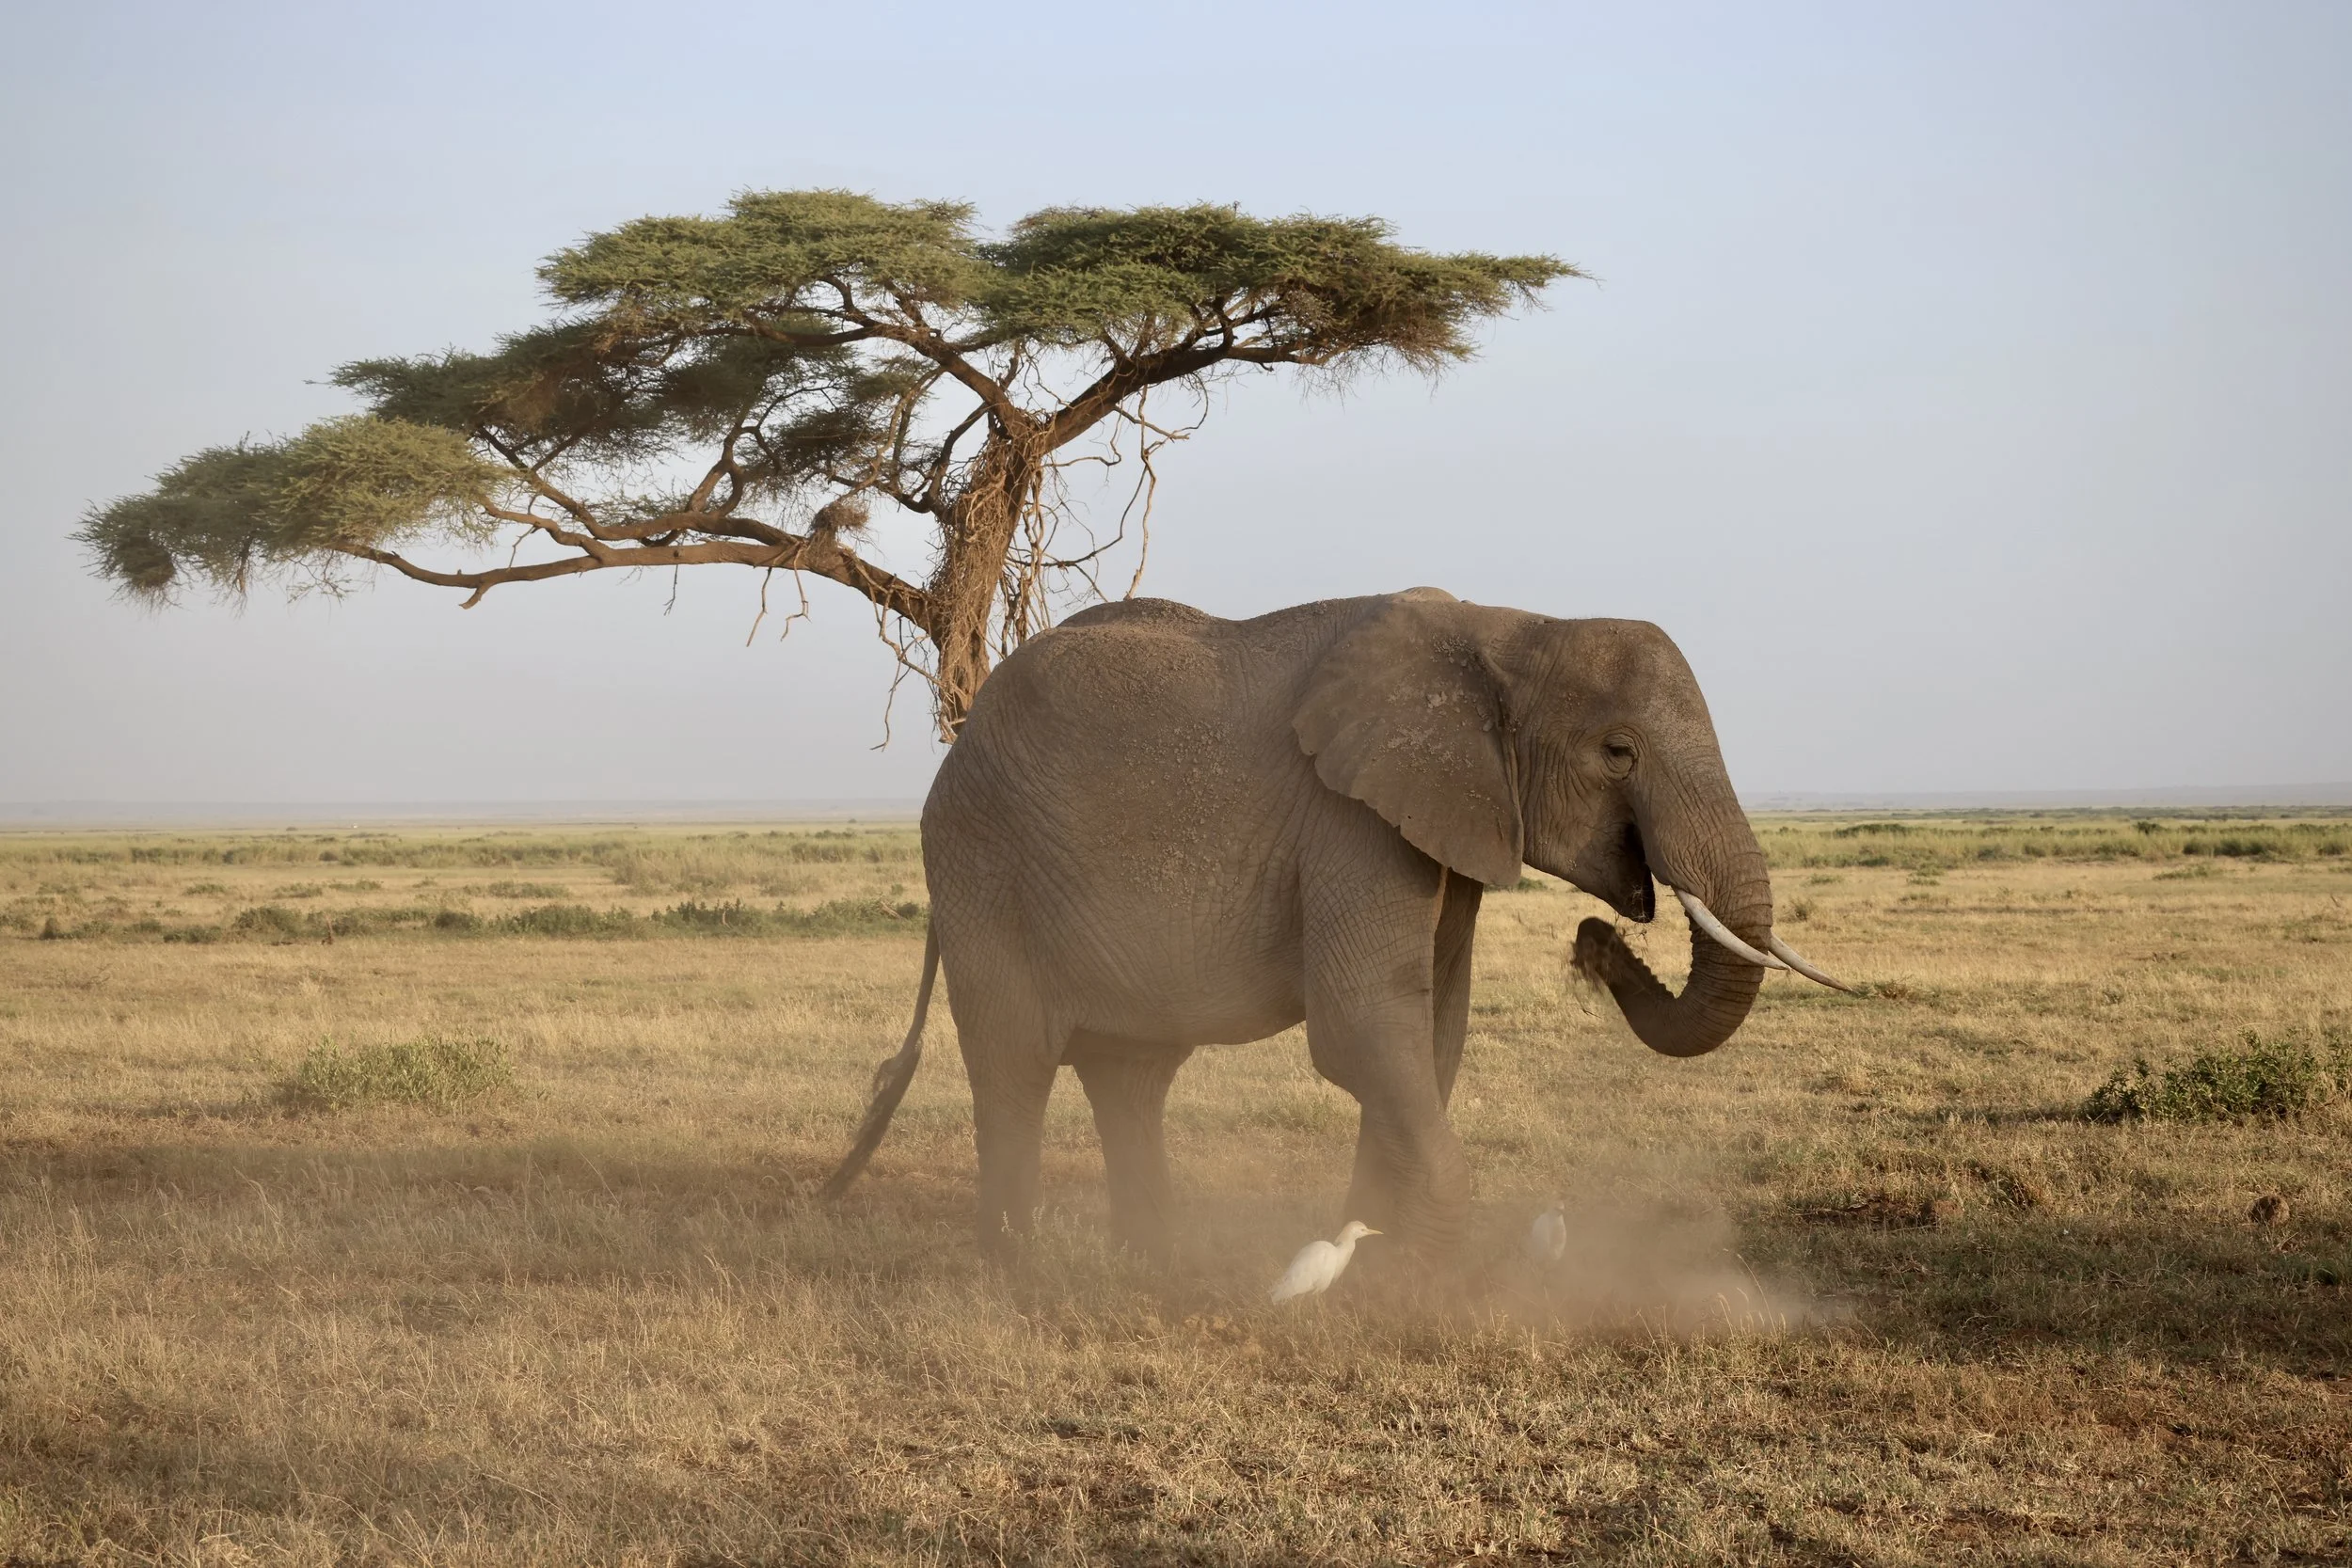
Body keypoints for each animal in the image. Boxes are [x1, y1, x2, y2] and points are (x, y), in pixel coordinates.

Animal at [823, 589, 1845, 1260]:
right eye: (1618, 751)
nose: (1598, 940)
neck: (1507, 627)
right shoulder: (1351, 816)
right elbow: (1364, 1026)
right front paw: (1429, 1270)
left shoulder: (1443, 816)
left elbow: (1431, 1028)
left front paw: (1375, 1245)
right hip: (982, 863)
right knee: (1014, 1061)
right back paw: (1018, 1265)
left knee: (1130, 1073)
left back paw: (1156, 1257)